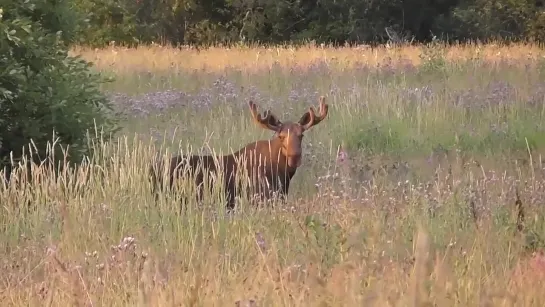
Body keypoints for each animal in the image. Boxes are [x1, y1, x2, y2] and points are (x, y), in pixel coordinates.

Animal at [148, 97, 328, 211]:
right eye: (281, 136)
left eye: (301, 135)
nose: (295, 156)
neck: (282, 174)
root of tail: (150, 170)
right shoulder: (259, 197)